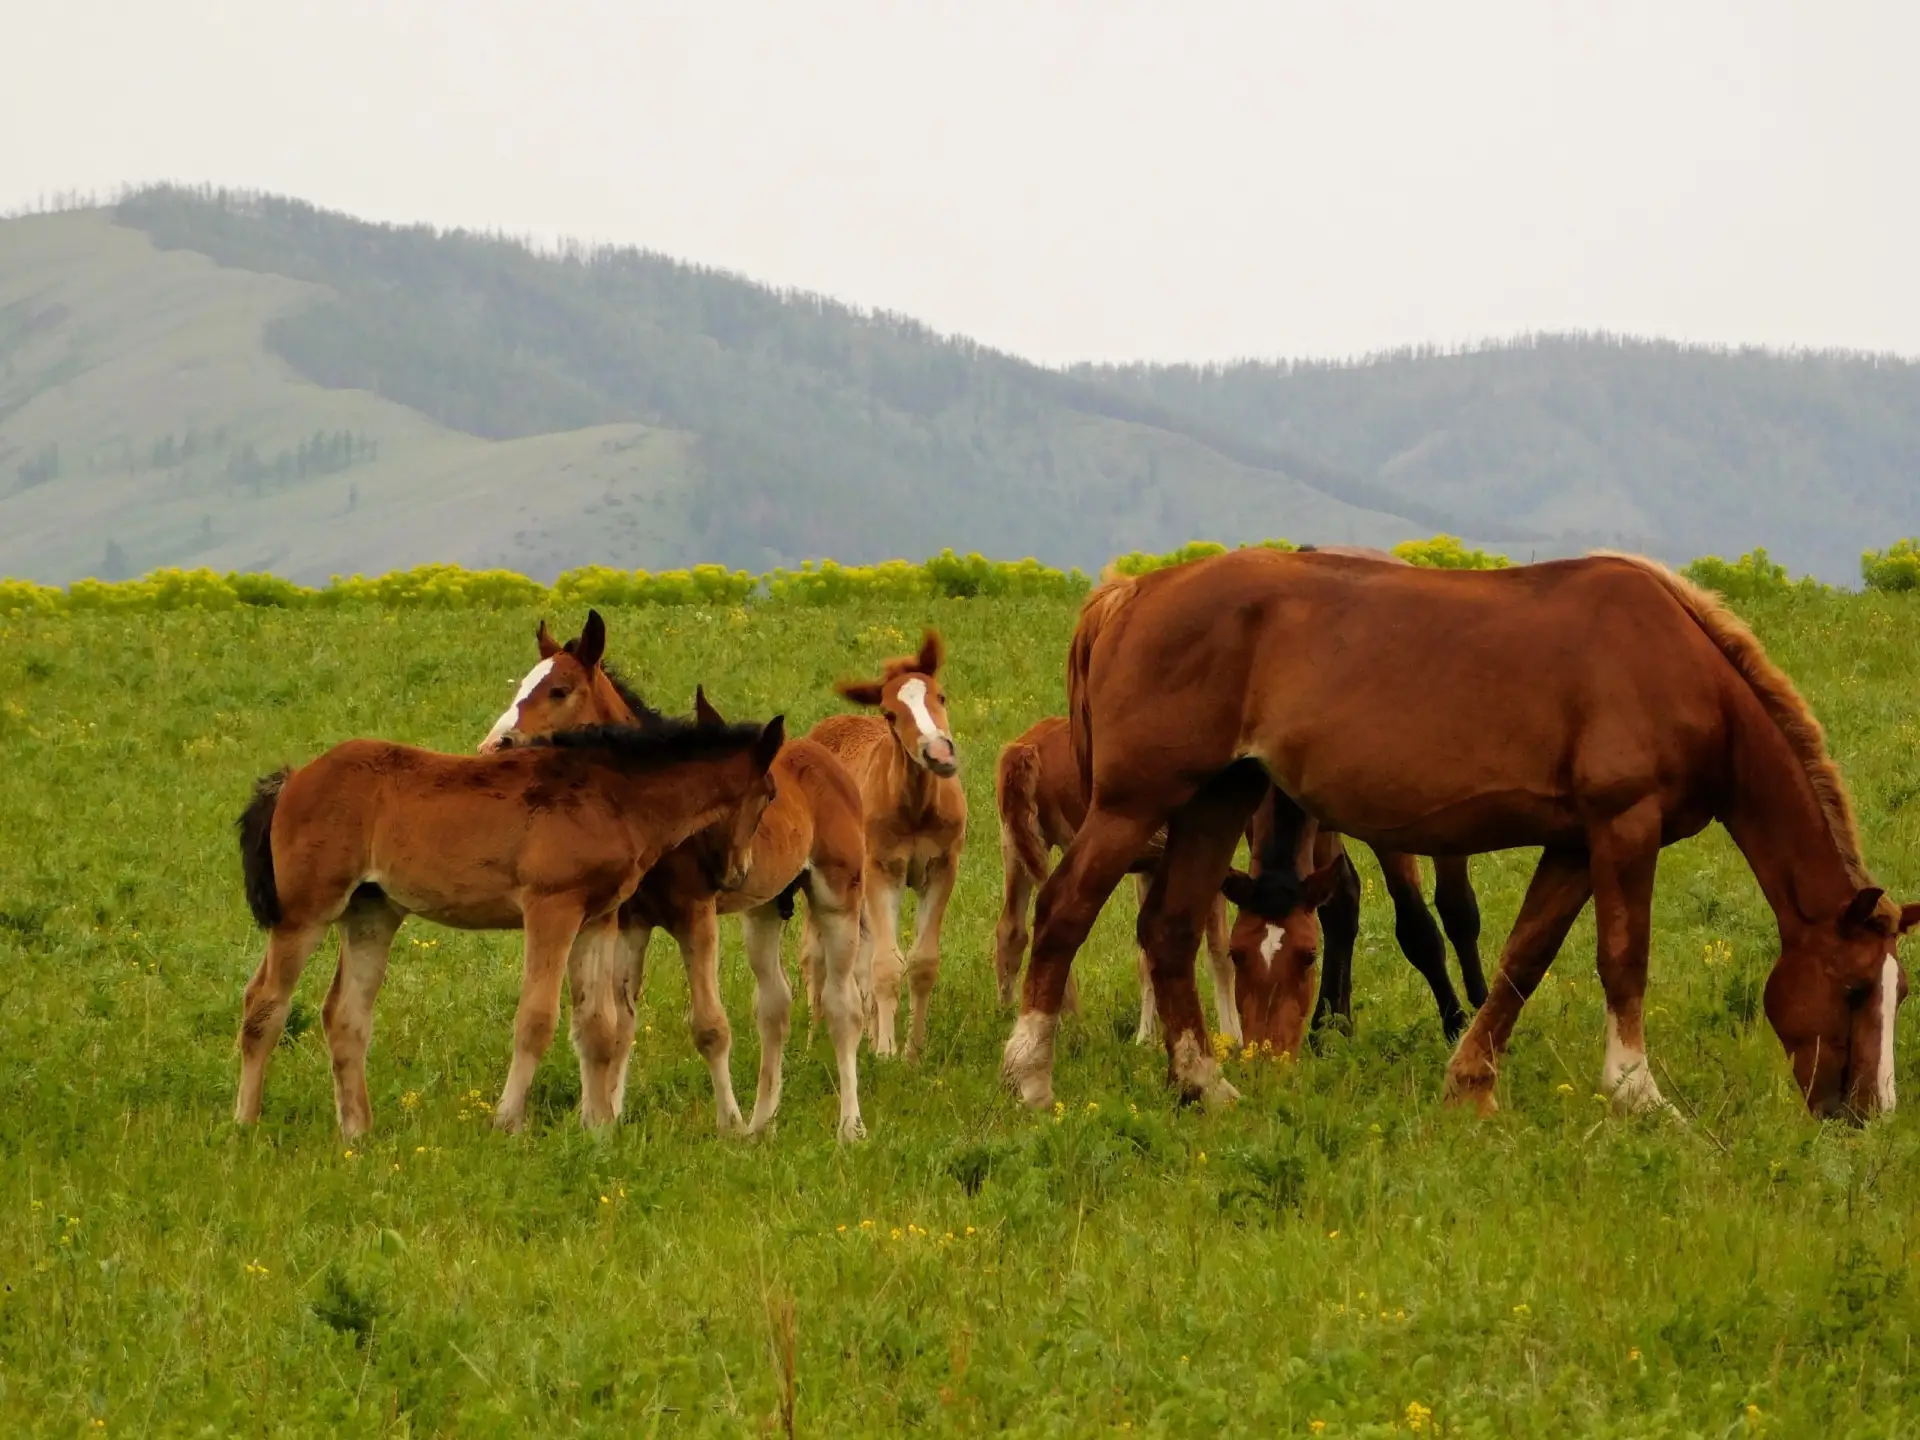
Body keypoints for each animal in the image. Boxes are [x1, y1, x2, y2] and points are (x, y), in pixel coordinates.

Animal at [233, 710, 785, 1137]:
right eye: (769, 795)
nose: (734, 873)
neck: (612, 796)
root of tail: (294, 779)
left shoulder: (598, 918)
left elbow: (598, 1026)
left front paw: (600, 1129)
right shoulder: (551, 908)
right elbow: (536, 1019)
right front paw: (508, 1122)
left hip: (370, 913)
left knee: (345, 1015)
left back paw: (357, 1133)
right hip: (305, 913)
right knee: (265, 1002)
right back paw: (246, 1123)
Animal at [480, 610, 870, 1141]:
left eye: (559, 690)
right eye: (522, 683)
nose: (493, 746)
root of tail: (827, 757)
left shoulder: (695, 915)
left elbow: (709, 1025)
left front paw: (727, 1124)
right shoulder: (630, 921)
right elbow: (621, 1022)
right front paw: (611, 1115)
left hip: (837, 895)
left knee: (842, 1005)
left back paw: (849, 1126)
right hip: (765, 909)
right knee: (775, 1004)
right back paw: (762, 1123)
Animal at [808, 630, 967, 1061]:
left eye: (941, 696)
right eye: (889, 714)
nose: (939, 753)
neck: (915, 807)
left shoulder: (942, 868)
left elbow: (922, 962)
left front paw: (913, 1051)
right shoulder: (883, 871)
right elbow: (886, 964)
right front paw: (886, 1051)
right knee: (815, 955)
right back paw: (812, 1041)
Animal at [1002, 546, 1918, 1121]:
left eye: (1897, 992)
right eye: (1854, 990)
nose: (1866, 1114)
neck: (1680, 668)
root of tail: (1133, 593)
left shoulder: (1576, 843)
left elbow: (1521, 961)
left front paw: (1471, 1084)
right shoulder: (1625, 826)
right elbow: (1622, 960)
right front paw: (1639, 1094)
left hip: (1216, 799)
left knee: (1167, 929)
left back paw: (1205, 1087)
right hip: (1137, 803)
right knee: (1063, 912)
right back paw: (1031, 1083)